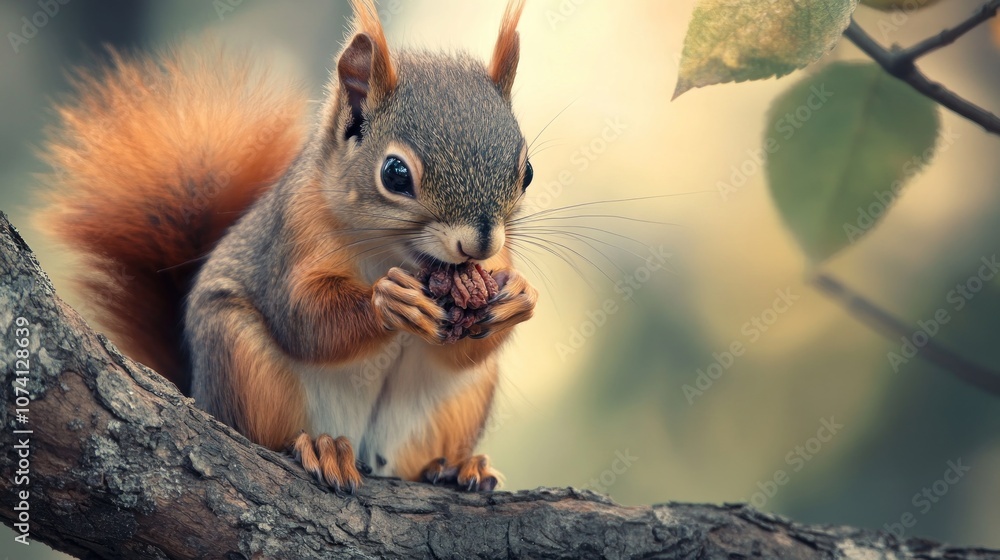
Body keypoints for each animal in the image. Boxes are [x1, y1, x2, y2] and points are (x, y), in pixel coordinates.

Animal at [35, 0, 538, 492]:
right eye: (395, 174)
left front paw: (519, 297)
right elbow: (303, 318)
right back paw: (320, 446)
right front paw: (390, 301)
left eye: (527, 171)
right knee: (272, 435)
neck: (396, 257)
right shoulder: (293, 235)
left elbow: (470, 347)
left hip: (452, 406)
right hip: (241, 359)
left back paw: (456, 467)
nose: (480, 243)